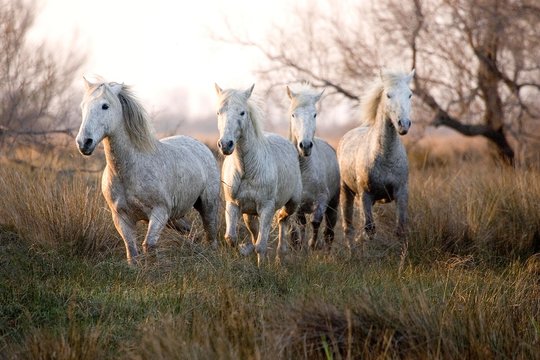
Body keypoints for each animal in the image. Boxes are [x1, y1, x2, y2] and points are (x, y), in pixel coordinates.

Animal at [76, 79, 219, 264]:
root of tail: (200, 145)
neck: (128, 171)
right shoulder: (121, 217)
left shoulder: (159, 213)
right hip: (174, 218)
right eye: (83, 106)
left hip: (207, 206)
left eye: (105, 106)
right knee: (189, 229)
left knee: (211, 234)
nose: (84, 143)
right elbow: (131, 250)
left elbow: (149, 245)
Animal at [214, 83, 300, 264]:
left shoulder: (266, 208)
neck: (247, 170)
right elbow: (231, 238)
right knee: (256, 230)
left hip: (292, 203)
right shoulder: (233, 204)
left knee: (283, 220)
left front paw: (261, 265)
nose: (225, 144)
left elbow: (261, 245)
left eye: (242, 112)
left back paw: (280, 256)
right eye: (219, 112)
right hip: (249, 213)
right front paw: (244, 249)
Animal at [284, 83, 340, 249]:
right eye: (293, 115)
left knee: (329, 231)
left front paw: (312, 244)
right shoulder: (297, 206)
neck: (303, 169)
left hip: (333, 204)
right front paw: (300, 246)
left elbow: (315, 222)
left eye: (314, 115)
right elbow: (299, 226)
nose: (306, 146)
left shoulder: (322, 199)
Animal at [338, 69, 414, 245]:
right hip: (346, 192)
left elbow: (400, 229)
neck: (386, 157)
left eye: (410, 94)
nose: (403, 124)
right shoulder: (365, 195)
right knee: (348, 227)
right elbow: (369, 229)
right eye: (388, 95)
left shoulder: (402, 193)